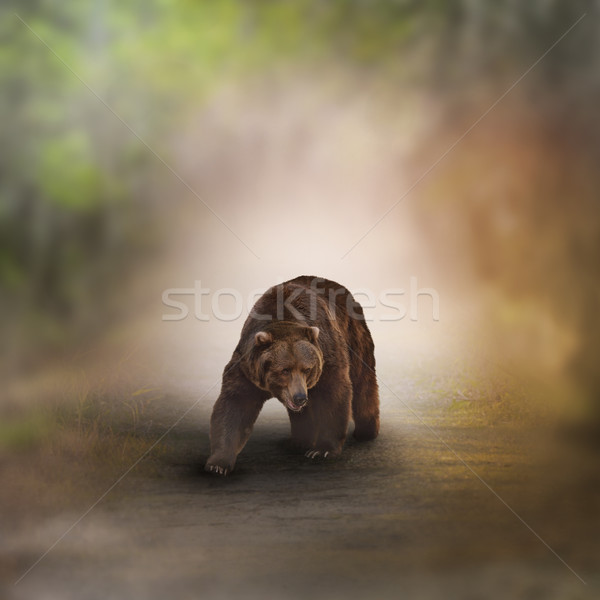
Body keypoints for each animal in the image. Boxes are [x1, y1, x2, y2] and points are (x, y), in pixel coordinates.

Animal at [204, 274, 378, 476]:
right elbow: (235, 406)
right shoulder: (247, 369)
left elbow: (333, 394)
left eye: (307, 368)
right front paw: (218, 464)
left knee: (363, 383)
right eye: (284, 370)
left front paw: (322, 450)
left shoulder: (327, 355)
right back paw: (298, 441)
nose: (300, 397)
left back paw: (366, 432)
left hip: (354, 335)